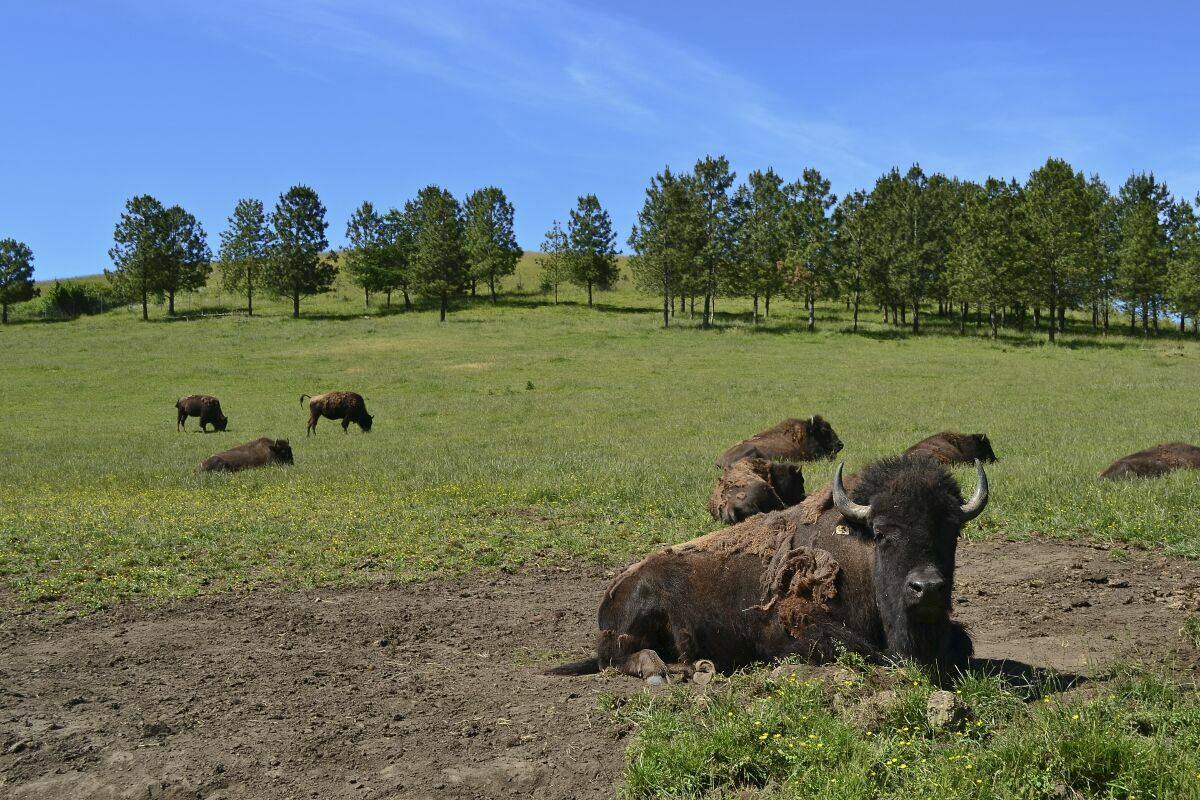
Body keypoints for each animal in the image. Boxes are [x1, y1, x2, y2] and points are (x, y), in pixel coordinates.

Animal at [549, 453, 988, 686]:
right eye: (882, 534)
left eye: (953, 531)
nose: (926, 588)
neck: (858, 548)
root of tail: (612, 594)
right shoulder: (794, 632)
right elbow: (868, 653)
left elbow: (962, 644)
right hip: (641, 610)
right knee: (614, 657)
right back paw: (666, 670)